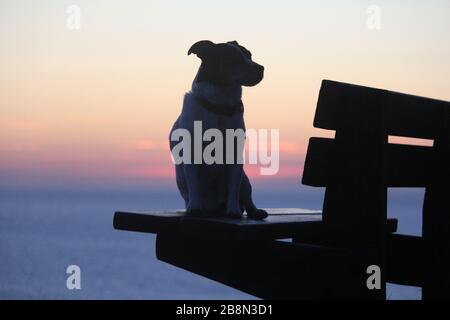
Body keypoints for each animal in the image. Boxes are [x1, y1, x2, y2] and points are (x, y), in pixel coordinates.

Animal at [169, 40, 268, 219]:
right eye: (233, 58)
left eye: (250, 55)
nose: (261, 68)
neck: (219, 107)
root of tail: (215, 208)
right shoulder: (192, 156)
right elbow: (194, 184)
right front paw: (195, 208)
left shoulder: (235, 159)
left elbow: (233, 188)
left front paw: (233, 210)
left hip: (245, 180)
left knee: (246, 197)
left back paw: (254, 211)